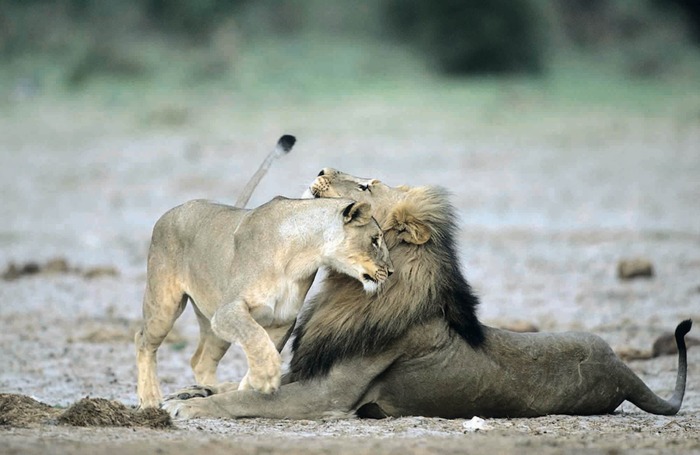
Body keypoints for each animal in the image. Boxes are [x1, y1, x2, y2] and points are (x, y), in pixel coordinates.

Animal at [135, 192, 393, 409]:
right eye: (375, 239)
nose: (390, 271)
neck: (302, 256)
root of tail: (173, 210)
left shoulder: (282, 320)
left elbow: (266, 346)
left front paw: (248, 389)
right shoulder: (229, 309)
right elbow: (256, 337)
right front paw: (266, 377)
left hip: (213, 324)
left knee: (201, 361)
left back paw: (207, 389)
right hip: (166, 305)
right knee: (143, 341)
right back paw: (150, 399)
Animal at [162, 168, 691, 419]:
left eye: (367, 185)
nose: (321, 169)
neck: (349, 289)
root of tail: (622, 371)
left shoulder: (327, 395)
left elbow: (246, 400)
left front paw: (190, 405)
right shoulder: (312, 370)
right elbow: (245, 388)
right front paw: (189, 390)